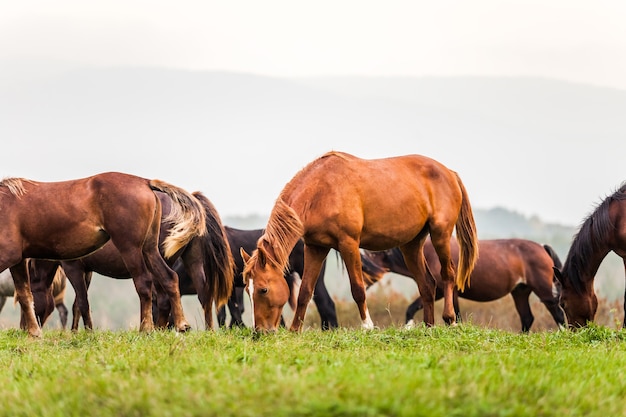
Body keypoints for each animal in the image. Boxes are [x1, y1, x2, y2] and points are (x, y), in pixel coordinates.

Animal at [0, 171, 205, 336]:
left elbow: (81, 302)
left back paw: (146, 328)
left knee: (145, 284)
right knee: (169, 278)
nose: (23, 329)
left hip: (130, 249)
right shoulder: (20, 261)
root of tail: (145, 182)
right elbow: (27, 295)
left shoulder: (70, 266)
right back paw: (180, 325)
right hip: (149, 250)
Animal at [31, 190, 234, 330]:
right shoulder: (87, 271)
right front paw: (75, 332)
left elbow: (82, 302)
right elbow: (77, 305)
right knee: (204, 294)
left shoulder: (73, 268)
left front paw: (84, 332)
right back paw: (207, 330)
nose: (29, 328)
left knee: (164, 296)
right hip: (193, 261)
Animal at [241, 150, 476, 332]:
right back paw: (429, 327)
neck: (321, 190)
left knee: (448, 274)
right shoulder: (316, 247)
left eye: (263, 289)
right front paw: (295, 330)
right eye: (247, 290)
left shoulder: (349, 244)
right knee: (427, 284)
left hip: (440, 234)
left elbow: (358, 289)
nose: (259, 332)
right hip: (411, 245)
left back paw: (450, 320)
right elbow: (305, 291)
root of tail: (449, 173)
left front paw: (367, 326)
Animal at [358, 239, 564, 330]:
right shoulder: (439, 291)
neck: (429, 254)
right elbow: (412, 308)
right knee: (527, 318)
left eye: (365, 264)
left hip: (543, 290)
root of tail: (542, 247)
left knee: (558, 312)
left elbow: (454, 313)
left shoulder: (447, 291)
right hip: (520, 291)